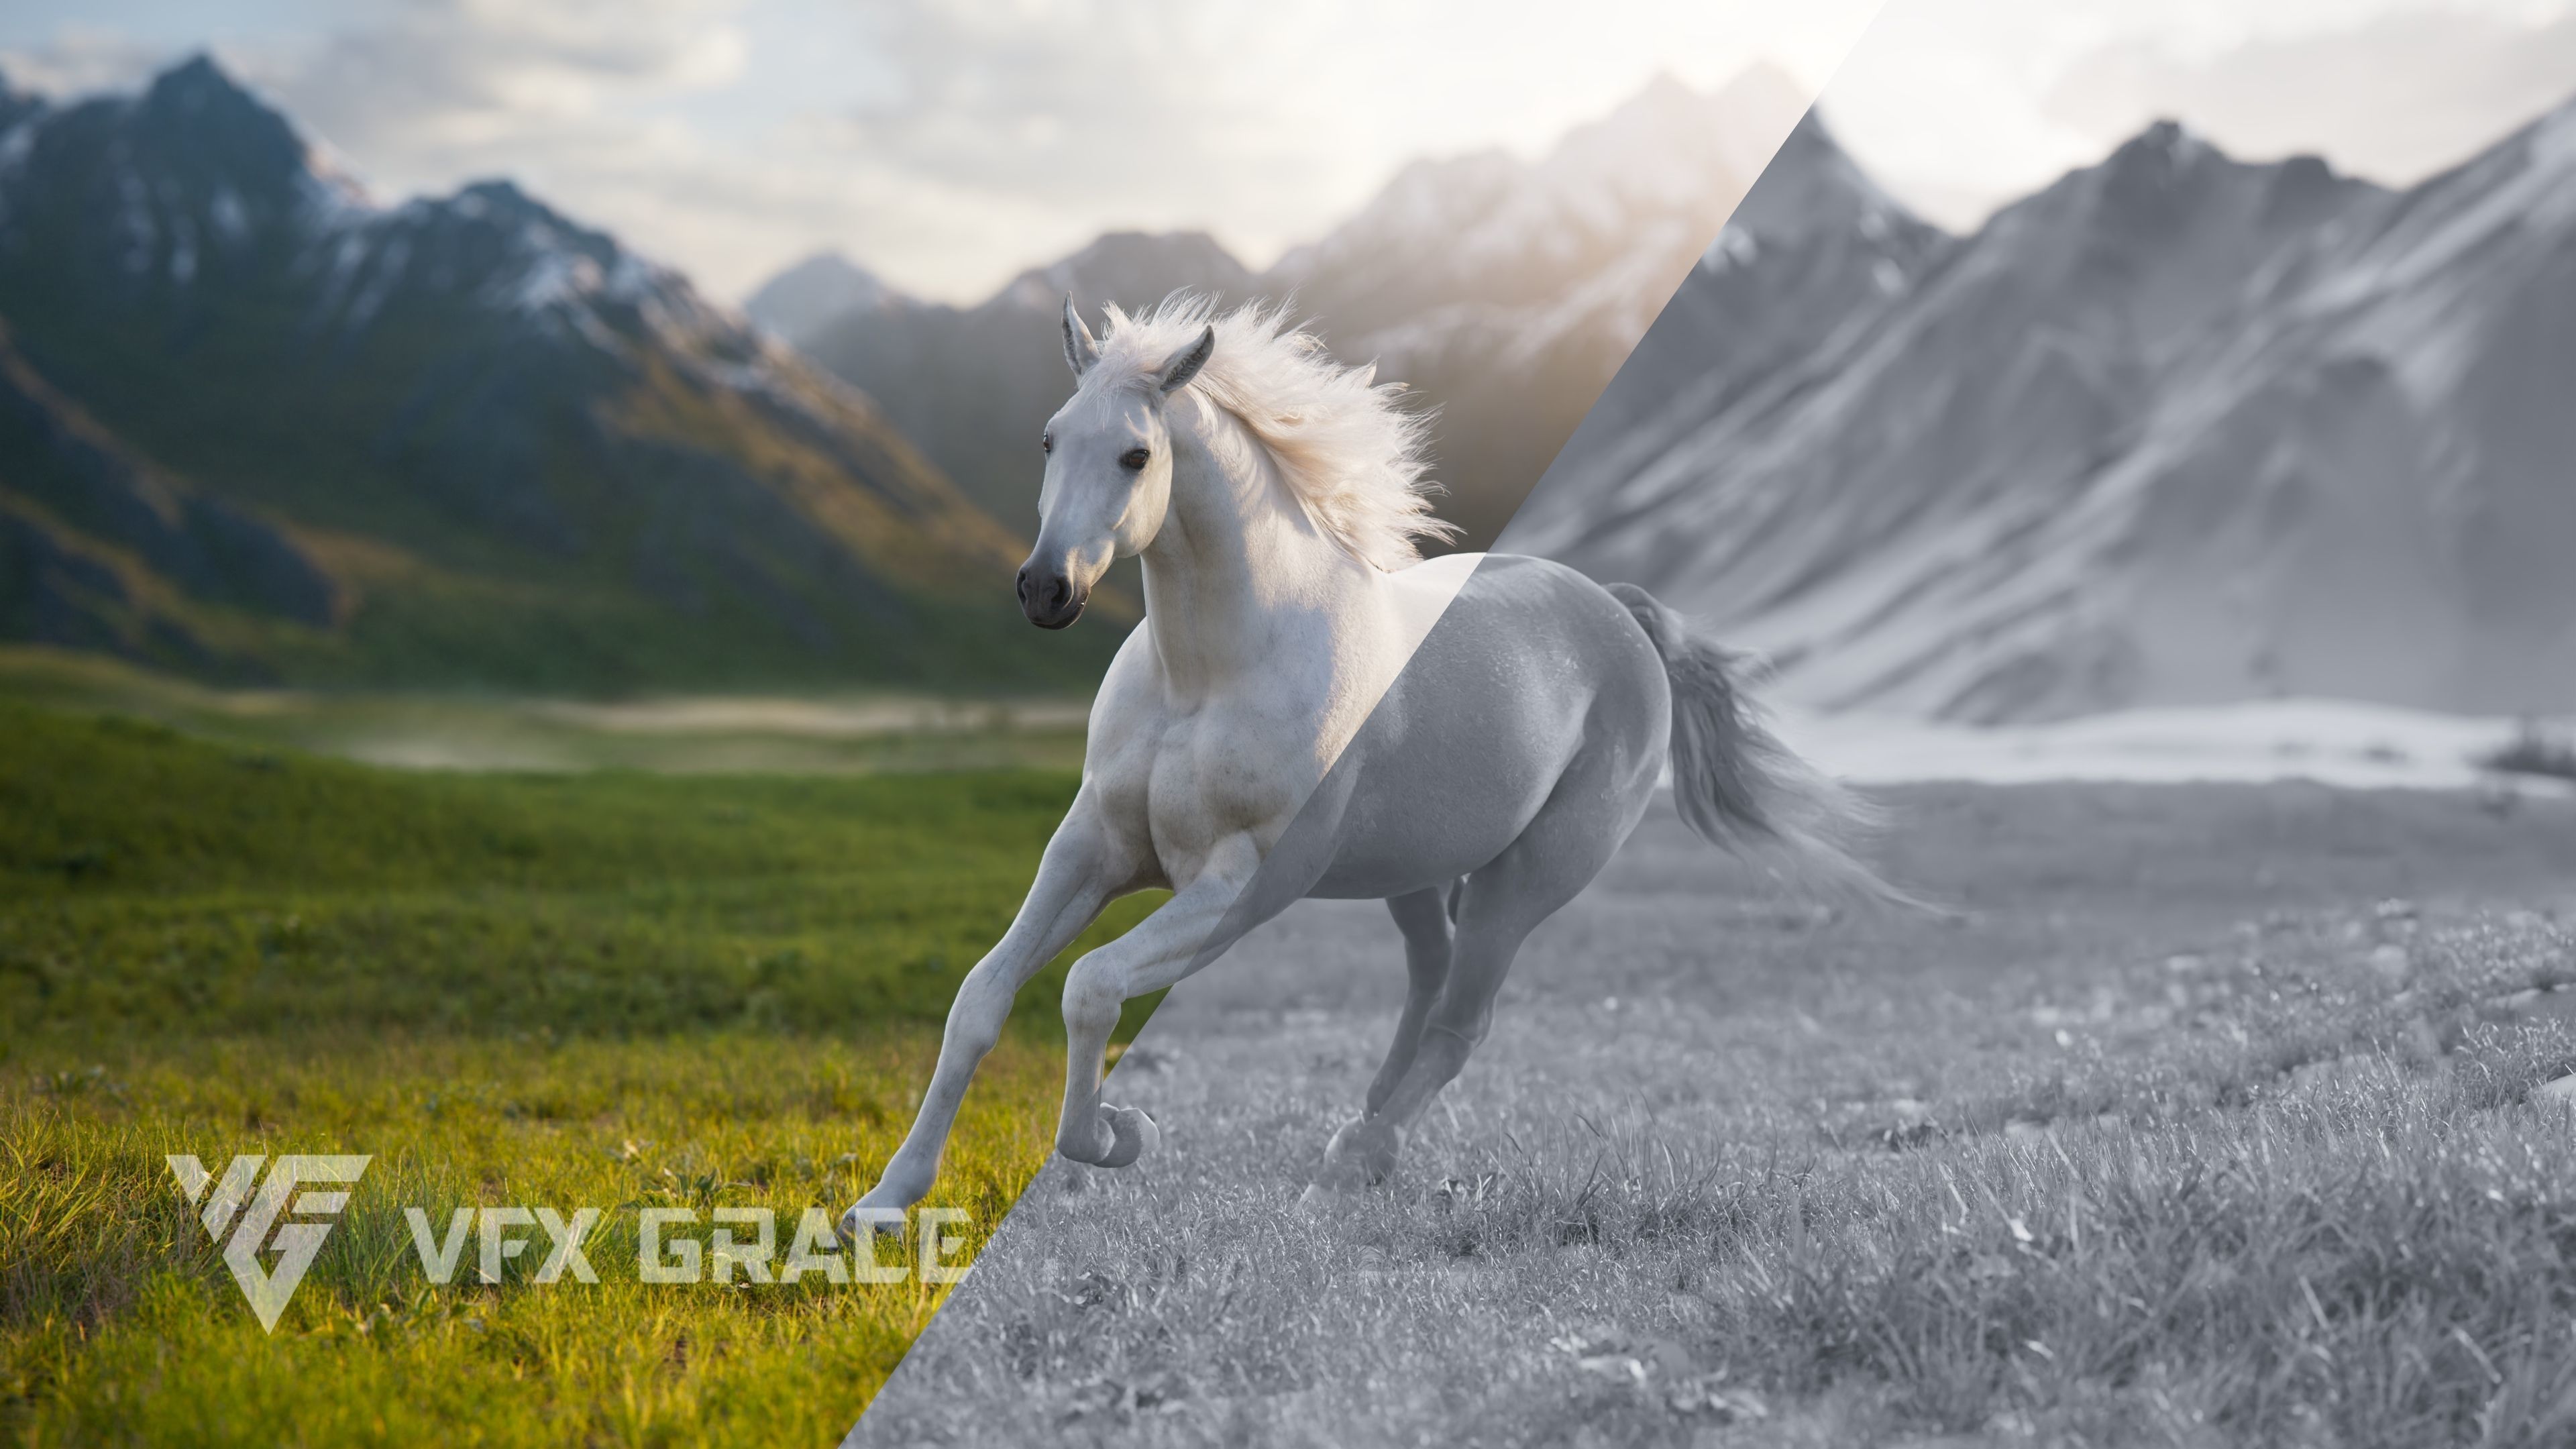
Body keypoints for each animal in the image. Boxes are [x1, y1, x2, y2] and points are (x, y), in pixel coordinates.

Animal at [843, 295, 1908, 1233]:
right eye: (1050, 440)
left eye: (1137, 454)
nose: (1045, 590)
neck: (1210, 675)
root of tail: (1620, 613)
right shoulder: (1091, 850)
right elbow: (983, 997)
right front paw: (886, 1204)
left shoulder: (1240, 889)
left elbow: (1090, 987)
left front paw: (1120, 1134)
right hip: (1418, 876)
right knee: (1427, 988)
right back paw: (1357, 1150)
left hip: (1524, 883)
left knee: (1459, 1024)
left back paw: (1342, 1173)